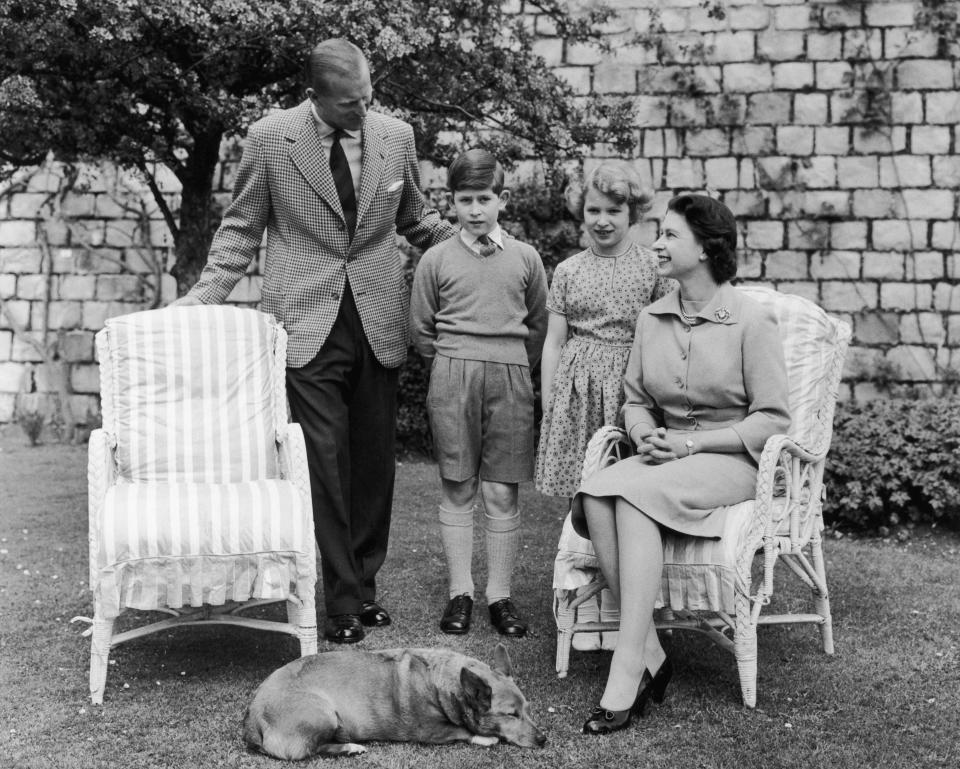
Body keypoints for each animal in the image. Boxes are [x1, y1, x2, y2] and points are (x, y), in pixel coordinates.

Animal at [242, 640, 548, 756]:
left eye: (527, 709)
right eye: (511, 715)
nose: (544, 739)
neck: (441, 682)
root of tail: (251, 719)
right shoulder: (430, 733)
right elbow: (462, 731)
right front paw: (486, 738)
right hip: (324, 714)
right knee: (310, 750)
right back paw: (349, 747)